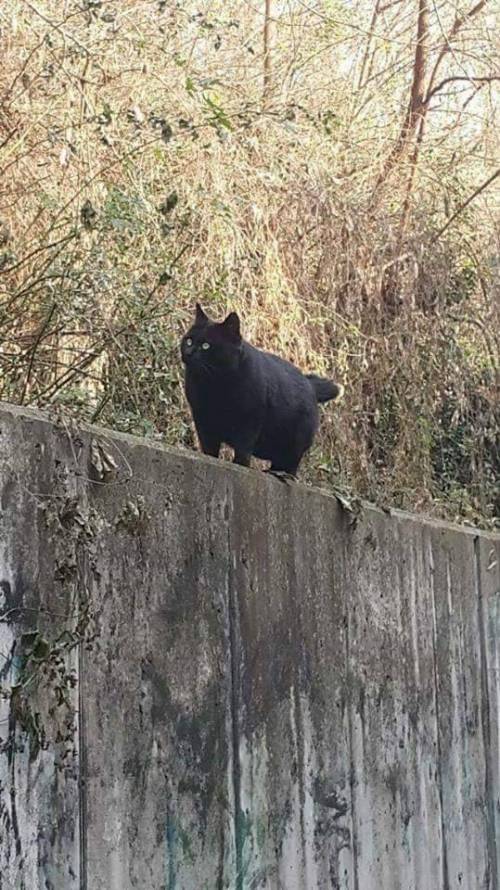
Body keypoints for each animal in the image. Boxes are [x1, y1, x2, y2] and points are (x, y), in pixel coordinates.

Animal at [181, 302, 344, 476]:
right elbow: (209, 449)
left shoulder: (249, 421)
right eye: (189, 341)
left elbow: (243, 450)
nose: (188, 352)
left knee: (290, 466)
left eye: (206, 346)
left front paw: (240, 466)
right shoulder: (202, 419)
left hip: (294, 445)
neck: (213, 384)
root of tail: (310, 384)